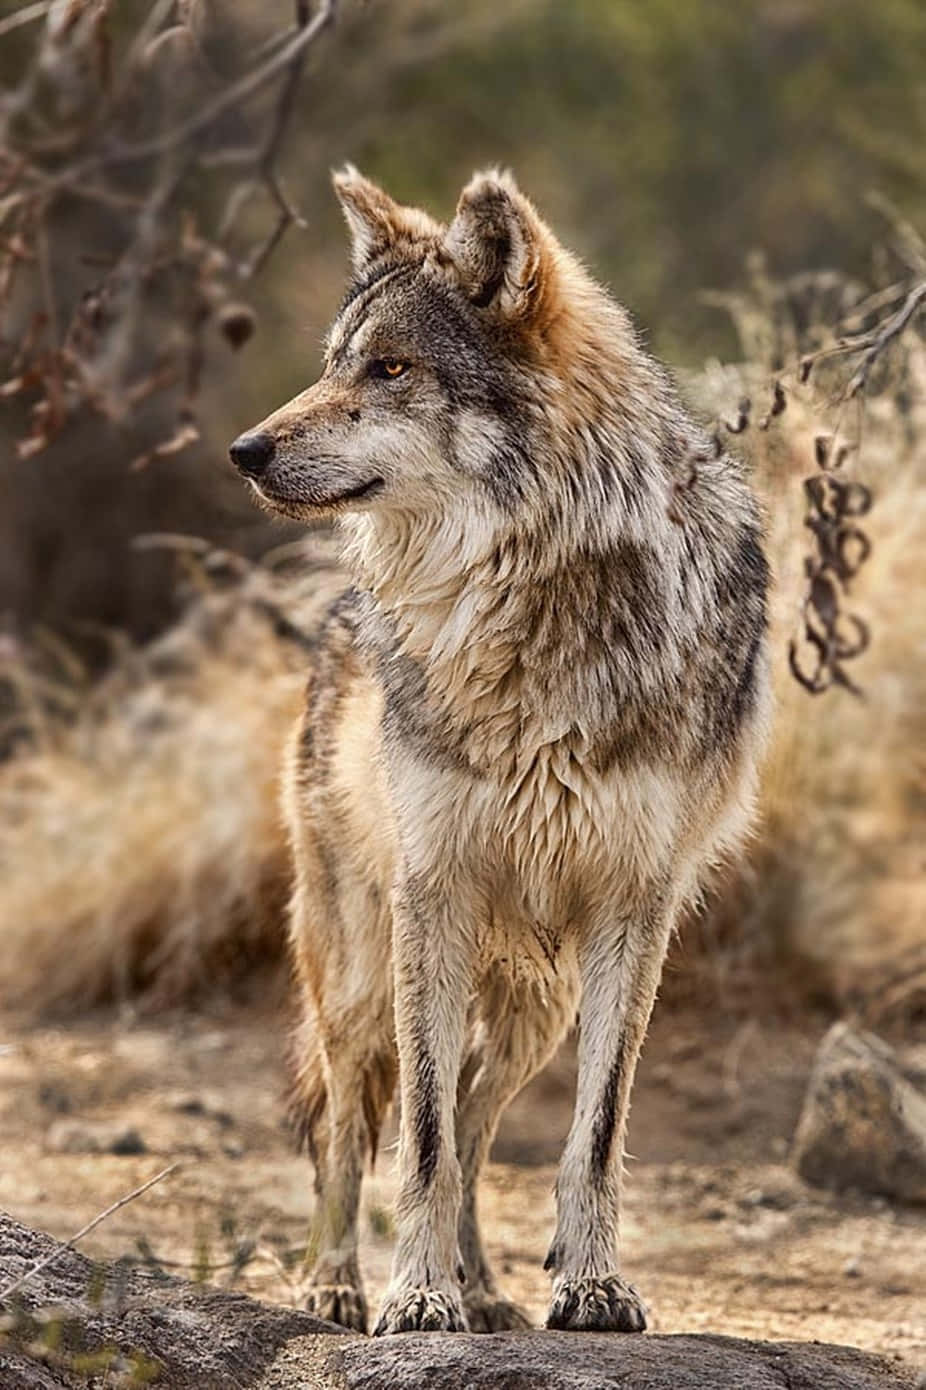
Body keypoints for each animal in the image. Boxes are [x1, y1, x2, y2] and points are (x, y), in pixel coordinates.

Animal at [229, 167, 770, 1336]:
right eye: (333, 362)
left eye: (390, 368)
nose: (244, 450)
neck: (529, 593)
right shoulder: (432, 890)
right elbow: (419, 1139)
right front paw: (413, 1297)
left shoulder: (634, 906)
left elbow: (589, 1135)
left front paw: (588, 1285)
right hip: (358, 971)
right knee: (354, 1125)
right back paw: (337, 1282)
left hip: (538, 999)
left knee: (478, 1111)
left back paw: (483, 1288)